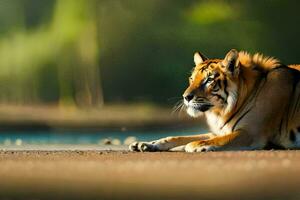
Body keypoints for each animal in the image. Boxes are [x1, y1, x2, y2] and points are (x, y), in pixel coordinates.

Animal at [129, 49, 300, 152]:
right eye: (192, 79)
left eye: (209, 80)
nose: (186, 97)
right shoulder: (218, 131)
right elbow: (177, 137)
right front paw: (145, 144)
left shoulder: (251, 132)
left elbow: (218, 140)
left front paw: (194, 145)